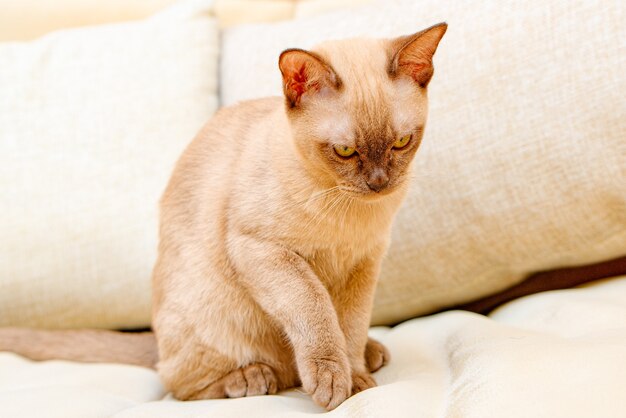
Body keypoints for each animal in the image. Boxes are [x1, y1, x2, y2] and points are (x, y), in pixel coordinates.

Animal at [0, 23, 444, 412]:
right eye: (346, 151)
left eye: (402, 142)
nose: (379, 183)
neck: (349, 212)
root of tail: (154, 337)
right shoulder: (264, 251)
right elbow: (315, 309)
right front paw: (335, 381)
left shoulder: (363, 266)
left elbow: (349, 325)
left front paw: (355, 378)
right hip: (210, 311)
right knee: (178, 383)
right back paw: (252, 378)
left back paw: (371, 353)